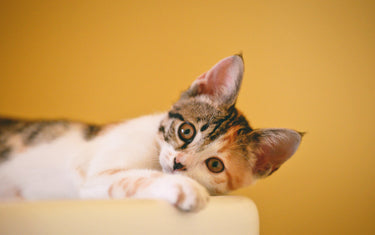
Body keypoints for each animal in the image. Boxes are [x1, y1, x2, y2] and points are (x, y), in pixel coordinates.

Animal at [0, 54, 302, 211]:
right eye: (186, 131)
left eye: (215, 165)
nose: (179, 164)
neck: (155, 157)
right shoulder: (93, 176)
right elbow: (132, 176)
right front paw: (184, 188)